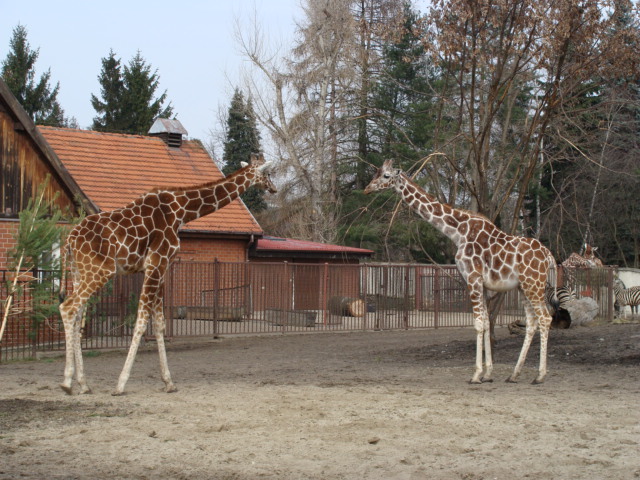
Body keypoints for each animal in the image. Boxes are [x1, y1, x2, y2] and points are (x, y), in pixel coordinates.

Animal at [59, 153, 276, 395]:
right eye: (268, 173)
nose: (274, 188)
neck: (181, 210)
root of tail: (69, 240)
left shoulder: (161, 267)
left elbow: (159, 323)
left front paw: (168, 382)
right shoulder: (157, 262)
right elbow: (142, 321)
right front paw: (121, 384)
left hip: (80, 272)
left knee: (77, 316)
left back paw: (83, 384)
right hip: (100, 271)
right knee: (68, 308)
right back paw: (66, 382)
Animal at [364, 159, 557, 384]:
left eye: (385, 175)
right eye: (376, 172)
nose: (367, 188)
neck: (457, 232)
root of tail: (549, 256)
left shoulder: (472, 278)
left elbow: (479, 324)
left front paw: (476, 375)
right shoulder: (480, 283)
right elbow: (487, 321)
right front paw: (488, 373)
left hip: (534, 285)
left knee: (545, 318)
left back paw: (540, 376)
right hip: (523, 287)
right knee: (532, 322)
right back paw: (514, 374)